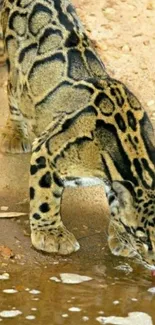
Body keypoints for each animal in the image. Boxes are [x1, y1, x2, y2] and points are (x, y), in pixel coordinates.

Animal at [0, 0, 155, 268]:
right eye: (144, 238)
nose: (153, 264)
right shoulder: (48, 148)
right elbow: (45, 196)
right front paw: (51, 234)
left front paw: (121, 236)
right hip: (18, 71)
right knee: (12, 89)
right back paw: (15, 133)